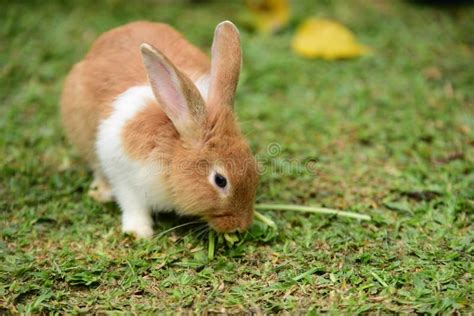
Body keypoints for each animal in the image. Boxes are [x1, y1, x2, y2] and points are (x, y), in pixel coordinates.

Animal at [60, 21, 260, 237]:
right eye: (220, 180)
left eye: (253, 165)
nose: (241, 225)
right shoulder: (123, 175)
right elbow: (133, 206)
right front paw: (140, 232)